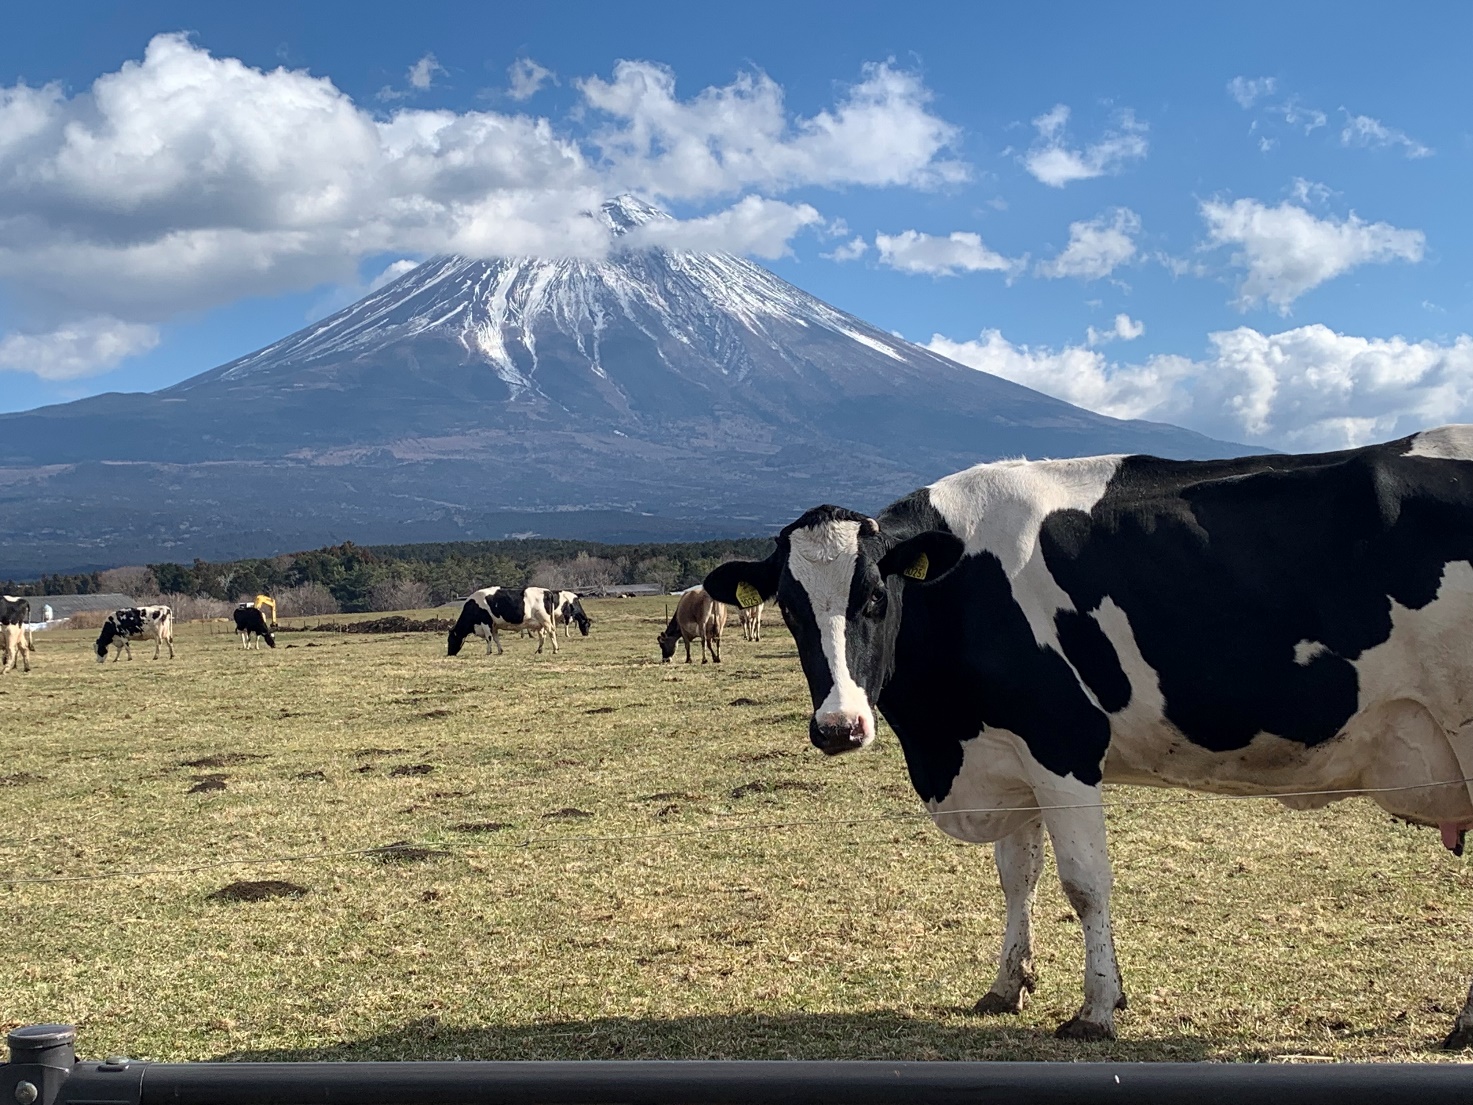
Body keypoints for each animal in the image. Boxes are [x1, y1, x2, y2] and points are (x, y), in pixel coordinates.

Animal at [704, 427, 1473, 1049]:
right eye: (790, 610)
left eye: (873, 598)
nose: (839, 726)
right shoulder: (1009, 750)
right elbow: (1017, 875)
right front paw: (1006, 985)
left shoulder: (1061, 744)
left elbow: (1084, 884)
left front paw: (1098, 1010)